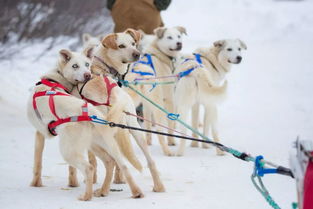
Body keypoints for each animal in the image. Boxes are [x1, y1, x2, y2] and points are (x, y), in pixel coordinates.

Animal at [123, 26, 186, 155]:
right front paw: (172, 141)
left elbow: (147, 126)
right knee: (160, 133)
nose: (179, 43)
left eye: (178, 36)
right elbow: (171, 124)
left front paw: (148, 142)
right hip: (159, 106)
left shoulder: (146, 104)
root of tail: (139, 74)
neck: (159, 54)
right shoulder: (169, 98)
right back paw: (167, 151)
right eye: (169, 37)